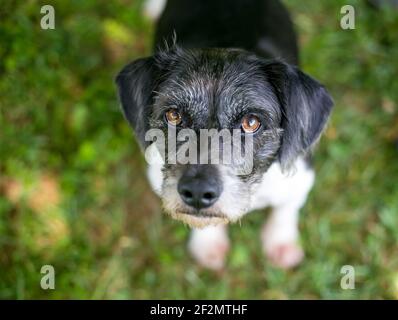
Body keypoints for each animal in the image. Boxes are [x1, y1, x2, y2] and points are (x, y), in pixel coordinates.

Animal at [115, 0, 332, 270]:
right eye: (173, 115)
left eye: (251, 122)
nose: (198, 192)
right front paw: (207, 243)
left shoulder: (301, 175)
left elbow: (287, 207)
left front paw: (281, 242)